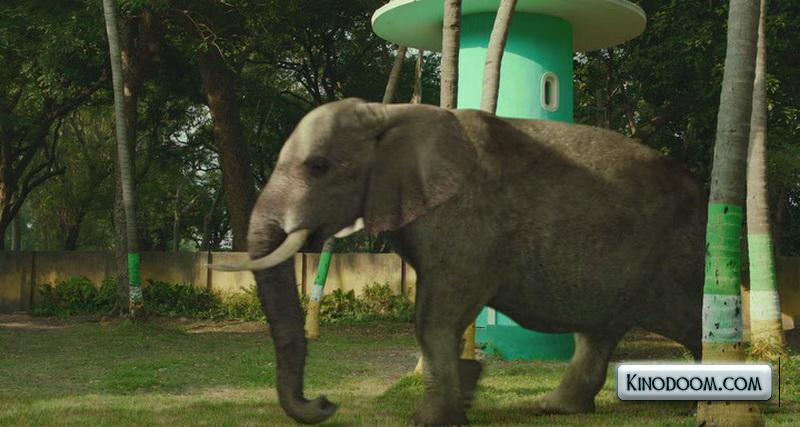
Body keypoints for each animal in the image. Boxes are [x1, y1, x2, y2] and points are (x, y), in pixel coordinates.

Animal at [211, 98, 705, 425]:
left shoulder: (466, 221)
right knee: (597, 334)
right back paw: (552, 408)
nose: (327, 402)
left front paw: (432, 420)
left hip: (682, 258)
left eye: (317, 166)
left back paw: (701, 408)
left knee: (691, 322)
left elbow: (437, 317)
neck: (388, 112)